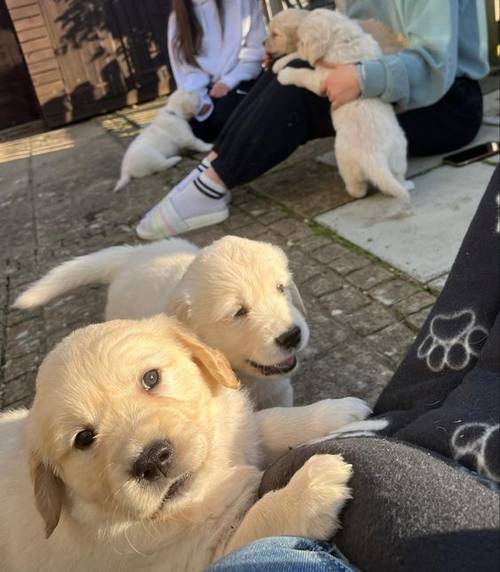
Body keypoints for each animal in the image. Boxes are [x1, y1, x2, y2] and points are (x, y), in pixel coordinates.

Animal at [0, 318, 370, 572]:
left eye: (151, 378)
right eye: (84, 439)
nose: (152, 459)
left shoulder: (235, 429)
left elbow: (268, 423)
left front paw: (336, 413)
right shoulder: (202, 555)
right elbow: (258, 522)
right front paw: (310, 489)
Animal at [276, 9, 412, 203]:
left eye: (302, 41)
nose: (299, 46)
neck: (345, 40)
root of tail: (374, 159)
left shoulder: (320, 80)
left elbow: (302, 73)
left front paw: (285, 73)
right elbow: (295, 57)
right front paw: (279, 63)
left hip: (346, 162)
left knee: (358, 188)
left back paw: (352, 191)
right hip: (398, 154)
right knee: (397, 177)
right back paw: (406, 184)